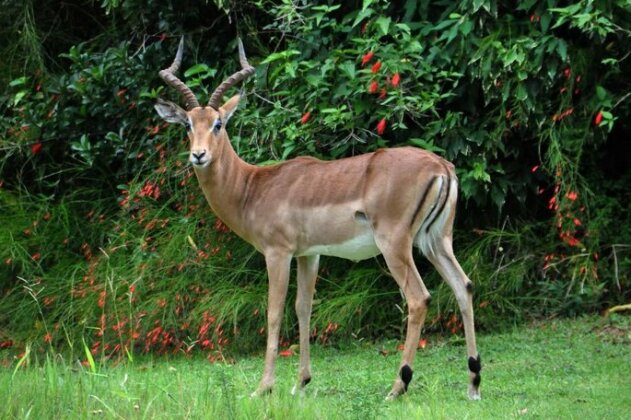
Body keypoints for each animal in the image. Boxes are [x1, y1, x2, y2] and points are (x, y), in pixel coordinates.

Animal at [154, 37, 484, 400]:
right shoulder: (309, 255)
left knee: (418, 298)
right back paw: (473, 383)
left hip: (395, 245)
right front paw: (301, 382)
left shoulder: (278, 253)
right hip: (436, 241)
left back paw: (398, 386)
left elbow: (274, 312)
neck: (253, 187)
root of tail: (441, 167)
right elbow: (304, 307)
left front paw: (263, 387)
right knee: (463, 286)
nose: (198, 155)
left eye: (218, 124)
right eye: (188, 124)